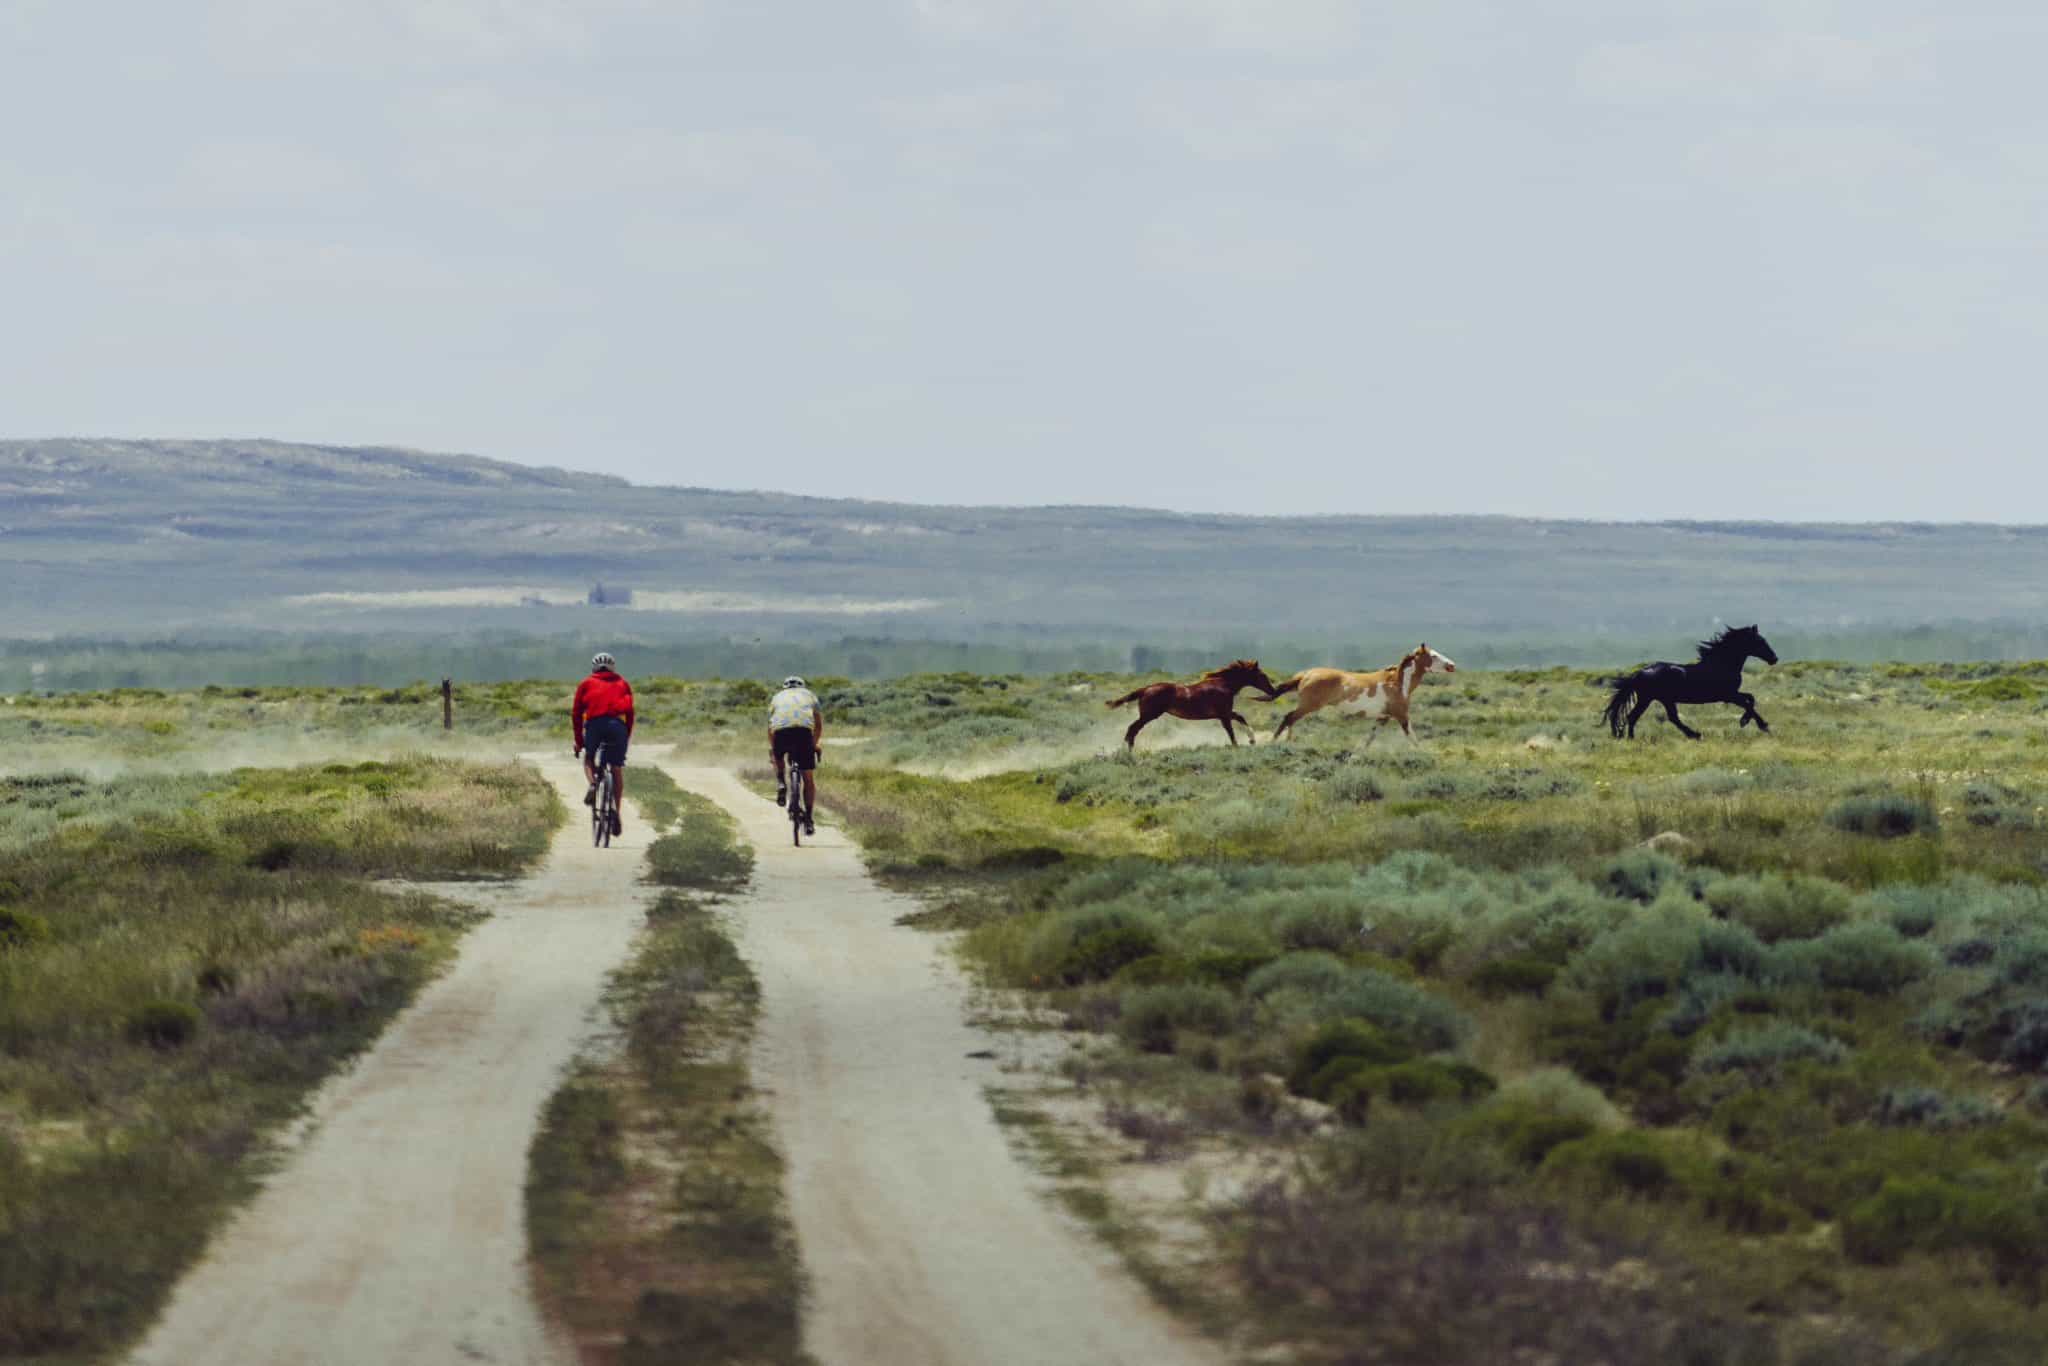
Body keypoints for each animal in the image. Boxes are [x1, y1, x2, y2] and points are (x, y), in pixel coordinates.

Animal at [1105, 659, 1277, 749]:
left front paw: (1252, 740)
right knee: (1132, 729)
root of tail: (1145, 689)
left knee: (1132, 730)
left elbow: (1241, 718)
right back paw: (1127, 751)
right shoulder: (1223, 715)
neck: (1224, 685)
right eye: (1262, 675)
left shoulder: (1225, 713)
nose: (1273, 690)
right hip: (1149, 715)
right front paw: (1239, 745)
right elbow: (1231, 731)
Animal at [1261, 643, 1458, 741]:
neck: (1398, 683)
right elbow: (1414, 740)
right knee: (1288, 718)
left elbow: (1368, 740)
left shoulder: (1383, 718)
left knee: (1290, 720)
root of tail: (1305, 675)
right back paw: (1275, 743)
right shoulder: (1401, 716)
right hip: (1309, 706)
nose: (1452, 665)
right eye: (1433, 655)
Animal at [1597, 626, 1777, 741]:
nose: (1774, 659)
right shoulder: (1728, 695)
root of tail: (1639, 672)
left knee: (1654, 717)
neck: (1721, 664)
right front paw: (1758, 724)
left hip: (1659, 699)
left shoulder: (1731, 694)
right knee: (1645, 717)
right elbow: (1748, 703)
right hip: (1652, 699)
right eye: (1760, 641)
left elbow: (1751, 698)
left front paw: (1749, 722)